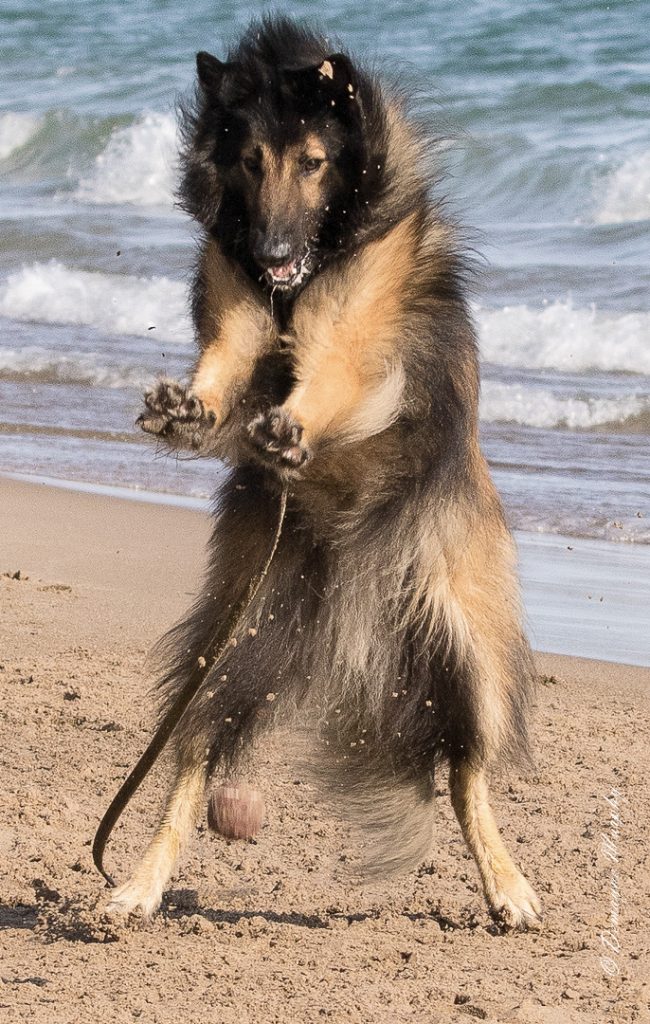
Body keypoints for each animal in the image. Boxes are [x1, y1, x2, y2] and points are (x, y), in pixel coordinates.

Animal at [107, 14, 544, 929]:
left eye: (312, 161)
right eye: (248, 160)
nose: (273, 250)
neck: (297, 279)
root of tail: (356, 610)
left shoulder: (359, 326)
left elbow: (333, 367)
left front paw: (294, 426)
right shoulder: (239, 310)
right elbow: (225, 356)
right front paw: (189, 409)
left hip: (470, 658)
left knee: (468, 774)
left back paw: (509, 888)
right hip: (233, 651)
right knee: (190, 763)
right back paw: (138, 885)